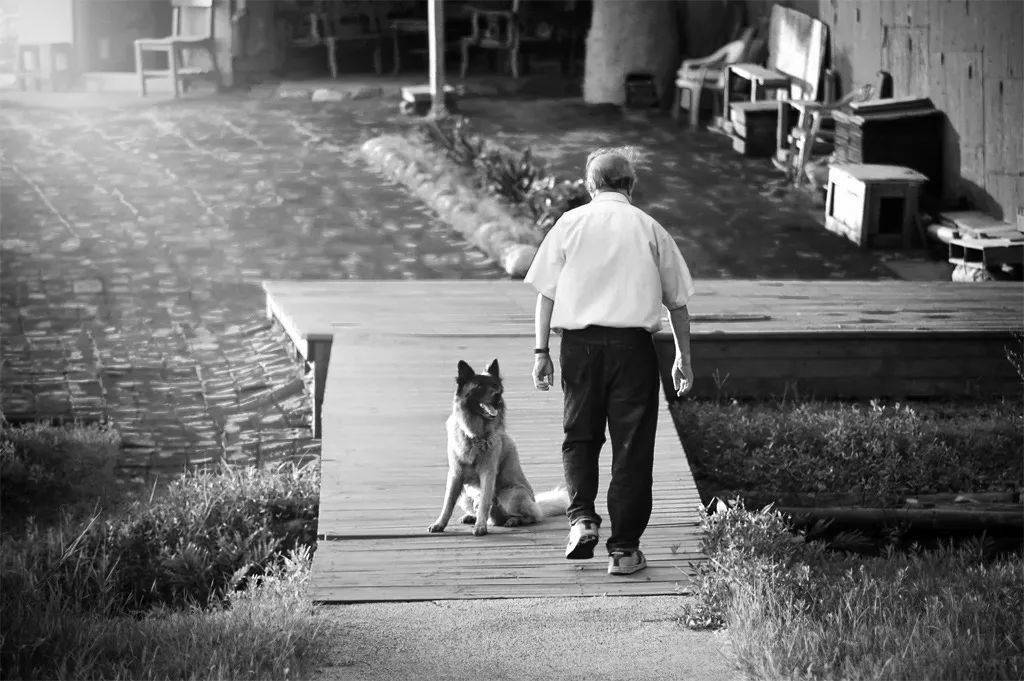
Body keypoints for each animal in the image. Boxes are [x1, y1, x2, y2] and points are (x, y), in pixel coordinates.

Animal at [425, 358, 569, 532]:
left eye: (495, 386)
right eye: (479, 386)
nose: (498, 395)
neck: (475, 435)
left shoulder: (488, 473)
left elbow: (485, 502)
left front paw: (480, 527)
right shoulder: (455, 475)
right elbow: (447, 504)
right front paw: (439, 523)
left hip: (510, 495)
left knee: (532, 517)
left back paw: (512, 520)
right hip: (465, 495)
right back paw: (473, 517)